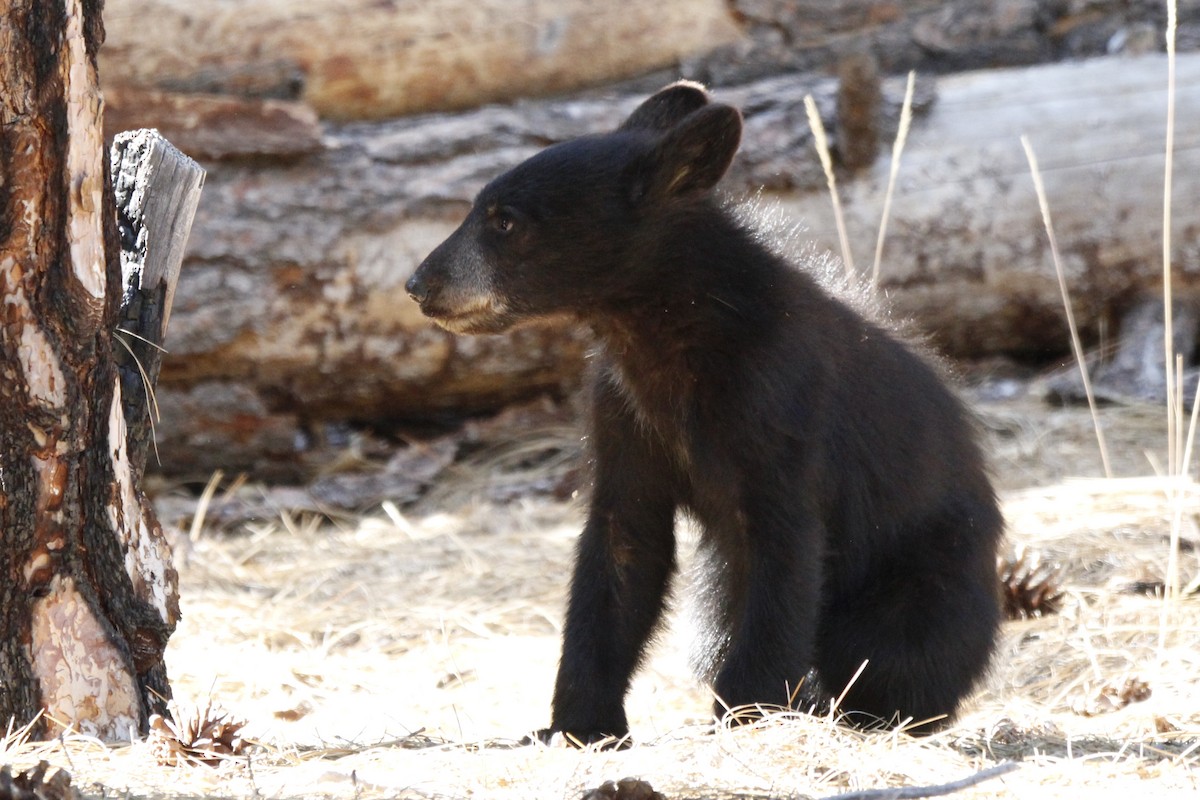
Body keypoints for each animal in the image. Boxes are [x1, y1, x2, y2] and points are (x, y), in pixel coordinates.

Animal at [406, 81, 1003, 744]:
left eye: (505, 220)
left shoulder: (781, 404)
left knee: (898, 651)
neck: (666, 335)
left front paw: (747, 712)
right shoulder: (622, 411)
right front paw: (579, 725)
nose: (420, 284)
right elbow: (621, 550)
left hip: (926, 575)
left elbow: (785, 553)